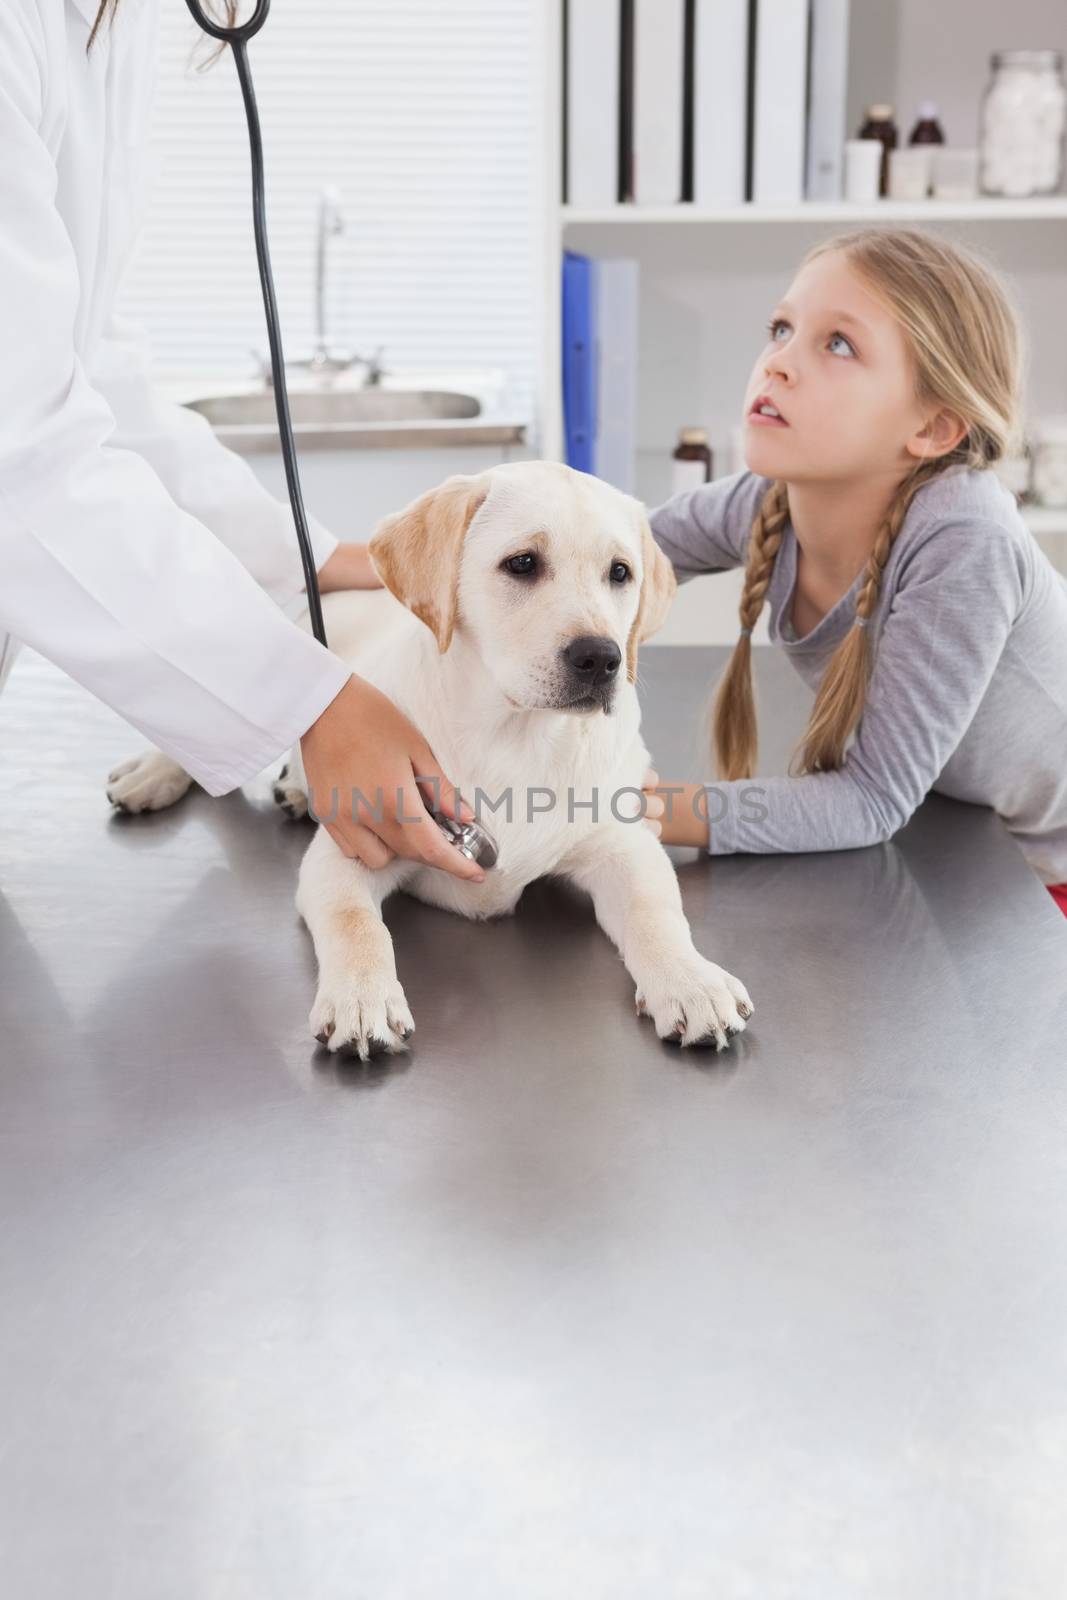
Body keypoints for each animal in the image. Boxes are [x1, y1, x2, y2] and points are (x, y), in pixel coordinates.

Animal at [275, 460, 755, 1062]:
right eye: (523, 563)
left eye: (620, 573)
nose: (602, 658)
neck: (518, 735)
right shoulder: (351, 846)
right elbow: (354, 921)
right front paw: (360, 998)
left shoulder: (622, 845)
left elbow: (657, 913)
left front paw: (692, 982)